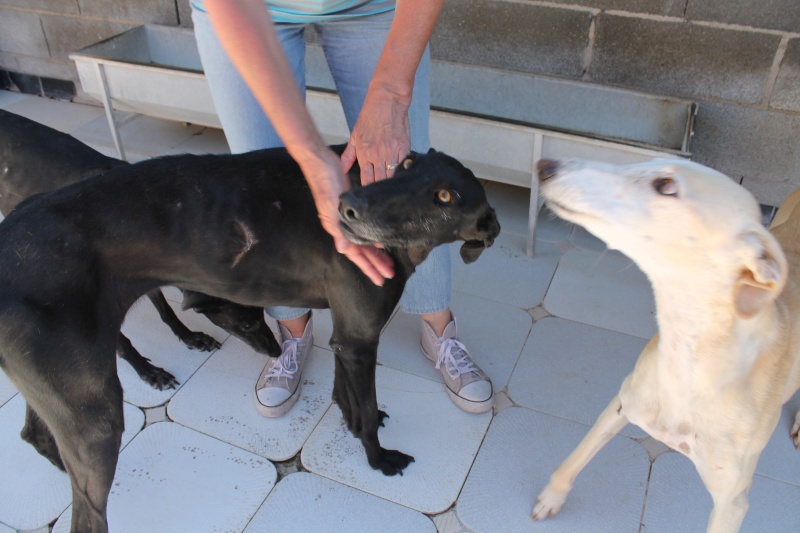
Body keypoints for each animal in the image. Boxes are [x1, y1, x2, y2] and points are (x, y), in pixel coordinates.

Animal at [0, 109, 282, 390]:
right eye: (246, 323)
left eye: (262, 313)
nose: (277, 352)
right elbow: (122, 343)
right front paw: (148, 371)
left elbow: (167, 311)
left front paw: (190, 337)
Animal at [0, 143, 496, 528]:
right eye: (406, 164)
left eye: (446, 195)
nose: (347, 205)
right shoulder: (360, 340)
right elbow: (368, 412)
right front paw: (378, 460)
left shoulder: (348, 336)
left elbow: (347, 395)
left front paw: (351, 420)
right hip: (95, 416)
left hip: (57, 390)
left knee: (38, 437)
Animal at [532, 158, 800, 532]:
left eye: (666, 186)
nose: (546, 164)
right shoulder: (621, 406)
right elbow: (574, 459)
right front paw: (553, 496)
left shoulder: (733, 503)